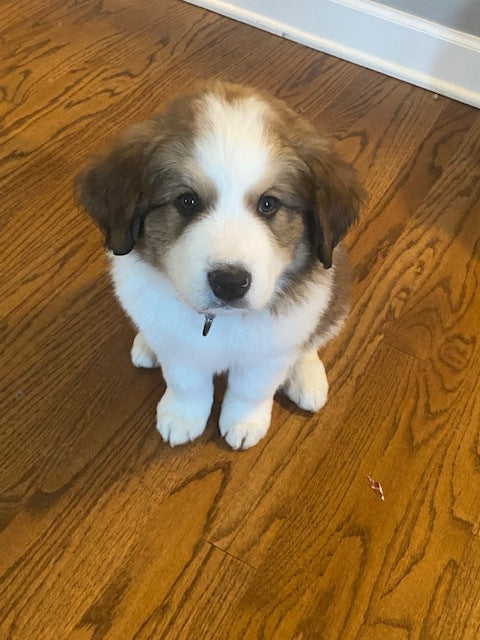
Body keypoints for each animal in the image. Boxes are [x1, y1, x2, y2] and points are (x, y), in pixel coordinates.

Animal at [78, 80, 364, 450]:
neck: (218, 321)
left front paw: (244, 422)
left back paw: (306, 376)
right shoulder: (181, 348)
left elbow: (251, 389)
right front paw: (182, 416)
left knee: (311, 340)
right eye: (187, 201)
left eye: (268, 204)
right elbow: (186, 383)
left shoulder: (269, 351)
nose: (229, 282)